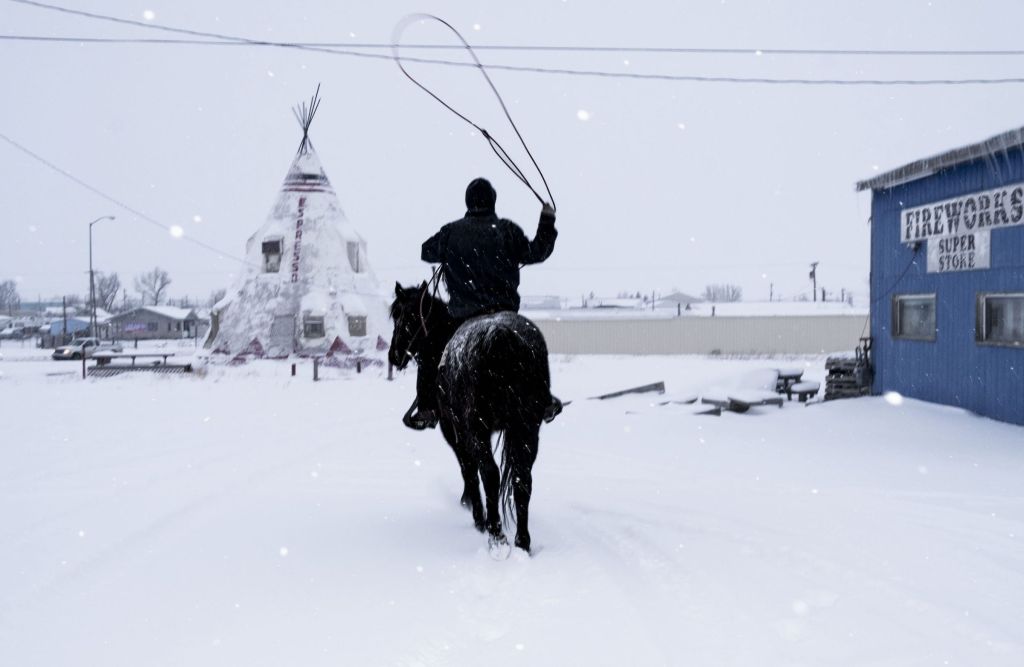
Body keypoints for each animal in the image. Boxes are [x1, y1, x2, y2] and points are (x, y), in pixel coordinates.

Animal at [389, 282, 552, 553]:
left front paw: (475, 513)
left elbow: (469, 470)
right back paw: (522, 541)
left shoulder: (454, 431)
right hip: (527, 427)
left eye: (401, 316)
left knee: (489, 474)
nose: (394, 355)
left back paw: (495, 532)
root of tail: (499, 335)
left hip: (478, 428)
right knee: (522, 478)